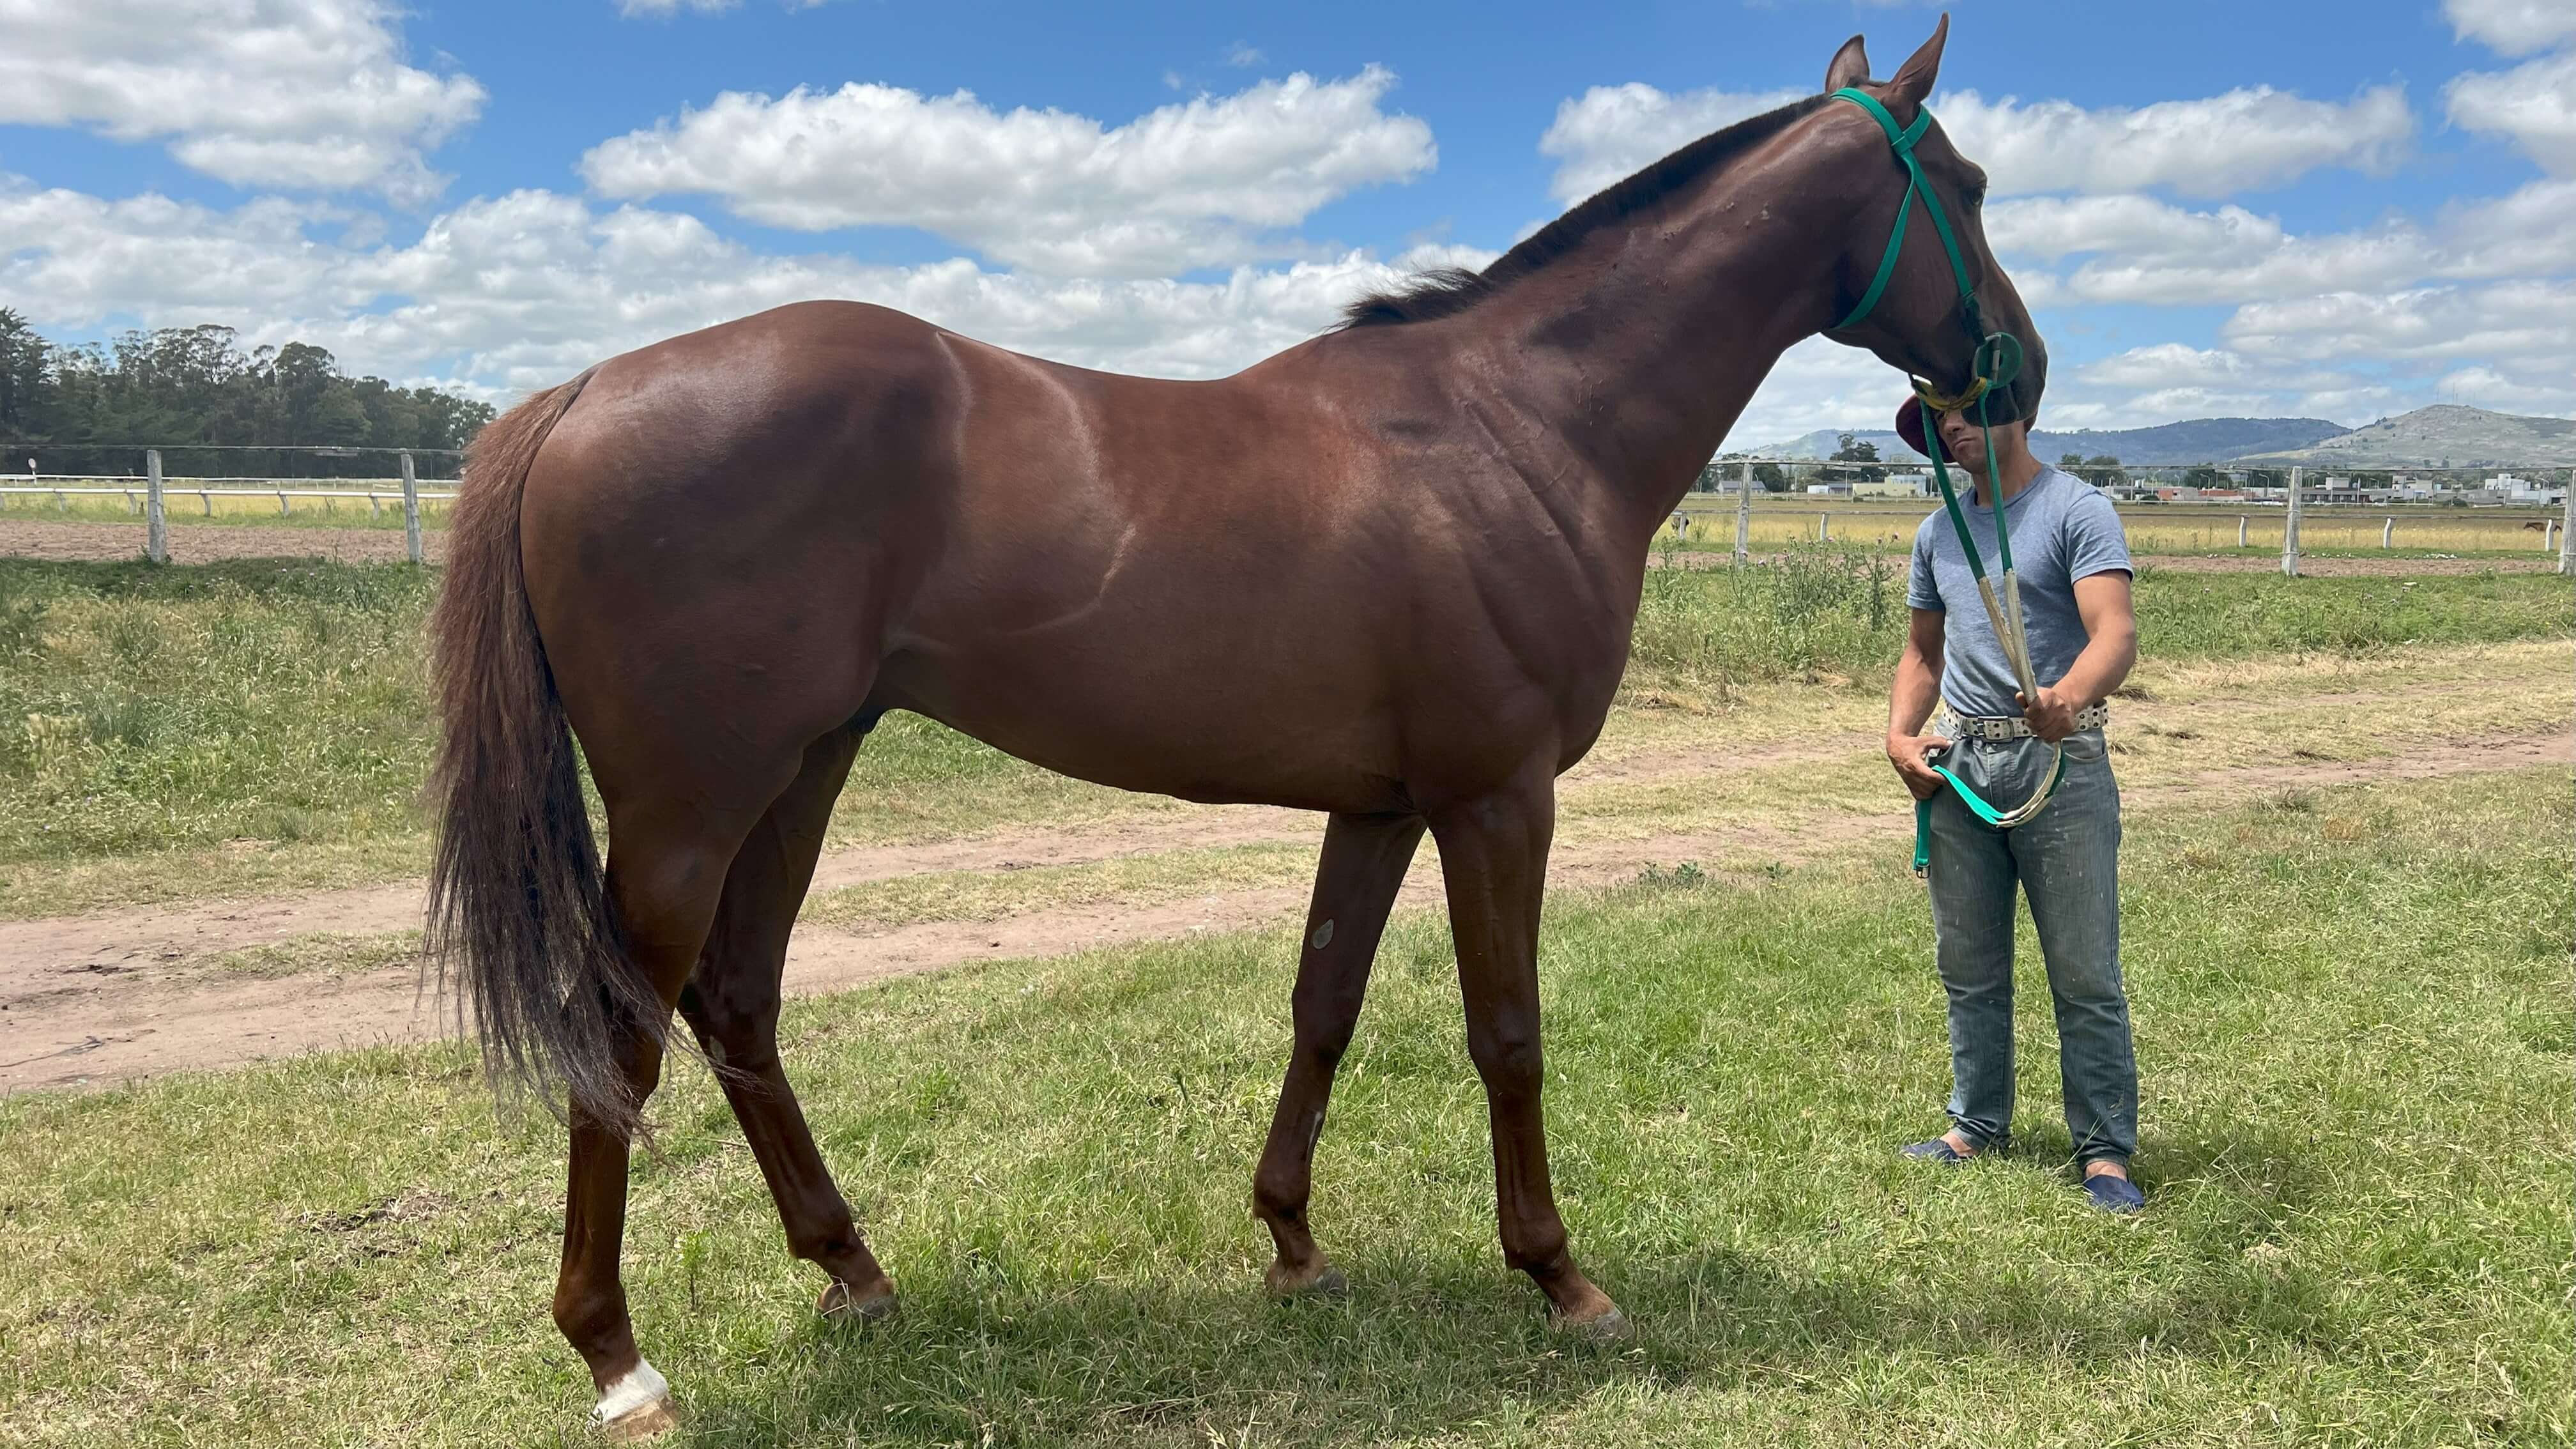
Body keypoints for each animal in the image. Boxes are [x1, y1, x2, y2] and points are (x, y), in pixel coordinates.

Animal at [427, 18, 2043, 1436]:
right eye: (1962, 186)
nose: (2019, 374)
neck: (1516, 428)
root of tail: (583, 390)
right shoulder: (1497, 797)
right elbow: (1507, 1032)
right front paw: (1562, 1277)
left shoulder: (1382, 805)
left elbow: (1324, 1005)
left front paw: (1293, 1245)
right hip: (691, 809)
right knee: (622, 1037)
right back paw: (620, 1361)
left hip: (799, 775)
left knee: (740, 1004)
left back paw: (853, 1272)